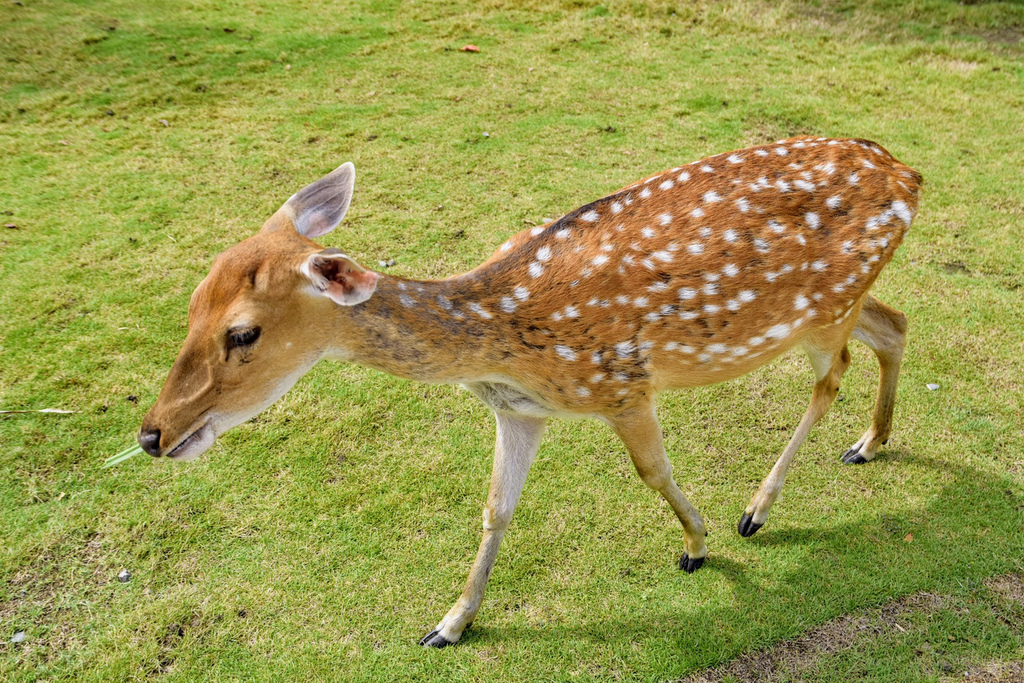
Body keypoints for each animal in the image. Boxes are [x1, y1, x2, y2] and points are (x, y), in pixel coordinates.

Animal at [136, 136, 921, 651]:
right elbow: (496, 508)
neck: (504, 340)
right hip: (847, 300)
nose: (151, 433)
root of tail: (908, 172)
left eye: (243, 332)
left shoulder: (621, 383)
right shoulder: (518, 413)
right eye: (191, 304)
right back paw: (869, 442)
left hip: (822, 309)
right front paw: (450, 623)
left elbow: (652, 471)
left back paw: (758, 509)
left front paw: (697, 545)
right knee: (895, 325)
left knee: (835, 370)